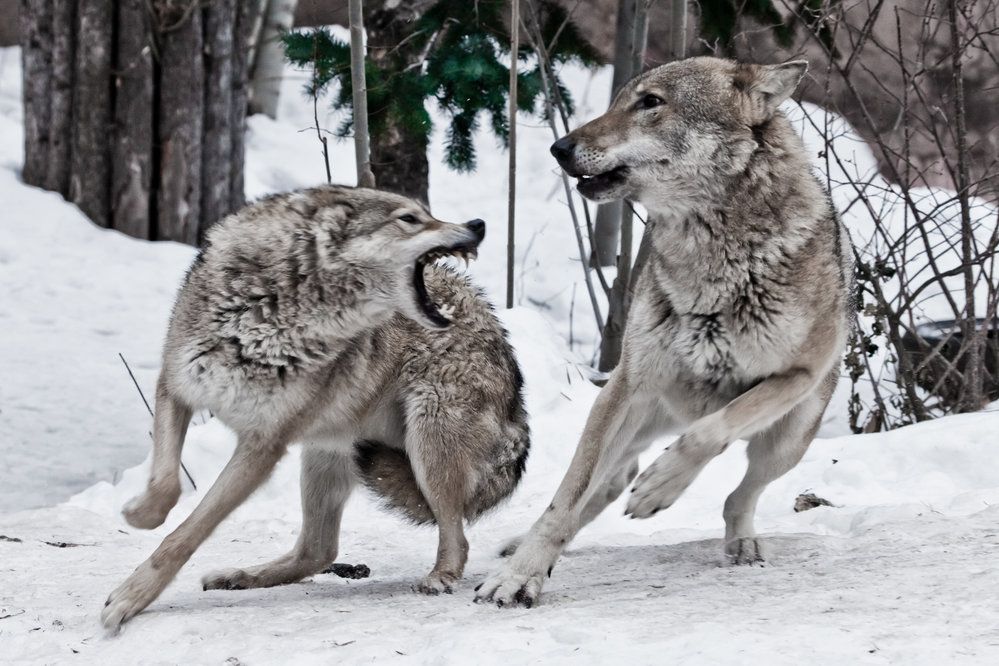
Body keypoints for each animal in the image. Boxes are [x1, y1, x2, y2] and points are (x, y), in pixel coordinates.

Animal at [101, 185, 532, 628]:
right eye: (410, 219)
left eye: (424, 215)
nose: (477, 225)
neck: (266, 314)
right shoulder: (176, 389)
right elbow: (166, 485)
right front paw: (138, 515)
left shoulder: (262, 447)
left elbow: (188, 532)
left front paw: (131, 596)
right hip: (324, 455)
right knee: (319, 551)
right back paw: (241, 576)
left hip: (427, 447)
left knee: (457, 537)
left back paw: (439, 578)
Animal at [476, 58, 852, 608]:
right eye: (617, 101)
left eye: (651, 102)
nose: (559, 148)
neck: (715, 260)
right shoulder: (627, 385)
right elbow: (564, 500)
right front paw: (520, 574)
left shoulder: (799, 373)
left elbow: (712, 430)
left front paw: (663, 486)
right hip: (620, 419)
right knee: (599, 489)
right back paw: (524, 545)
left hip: (787, 440)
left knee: (738, 494)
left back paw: (739, 541)